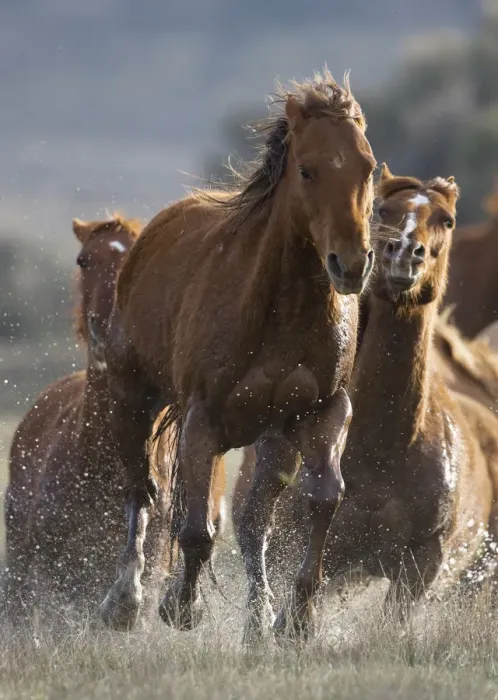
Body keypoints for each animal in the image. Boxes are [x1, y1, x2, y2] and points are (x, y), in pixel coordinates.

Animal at [99, 69, 376, 642]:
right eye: (308, 170)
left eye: (367, 166)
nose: (352, 265)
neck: (277, 311)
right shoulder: (201, 419)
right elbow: (195, 530)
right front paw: (181, 606)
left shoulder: (321, 412)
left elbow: (323, 498)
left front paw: (297, 616)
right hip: (130, 400)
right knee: (143, 492)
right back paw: (125, 601)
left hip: (273, 439)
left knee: (253, 524)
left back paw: (259, 617)